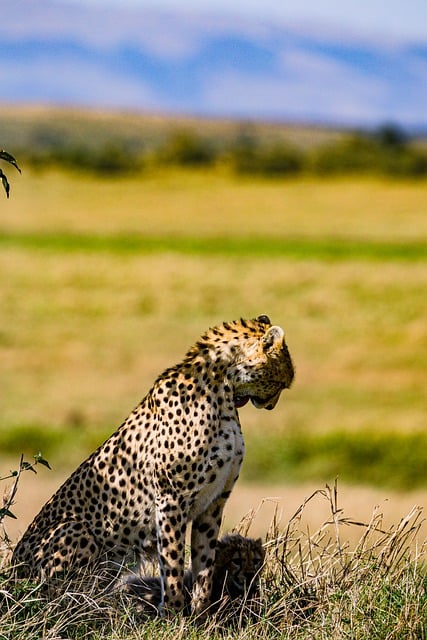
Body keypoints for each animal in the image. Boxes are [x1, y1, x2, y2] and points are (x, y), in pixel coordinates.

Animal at [13, 316, 294, 616]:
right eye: (281, 381)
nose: (271, 405)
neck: (223, 390)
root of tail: (12, 571)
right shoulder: (172, 498)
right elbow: (171, 561)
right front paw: (172, 613)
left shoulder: (214, 501)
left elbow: (204, 562)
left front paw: (201, 614)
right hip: (76, 530)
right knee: (59, 597)